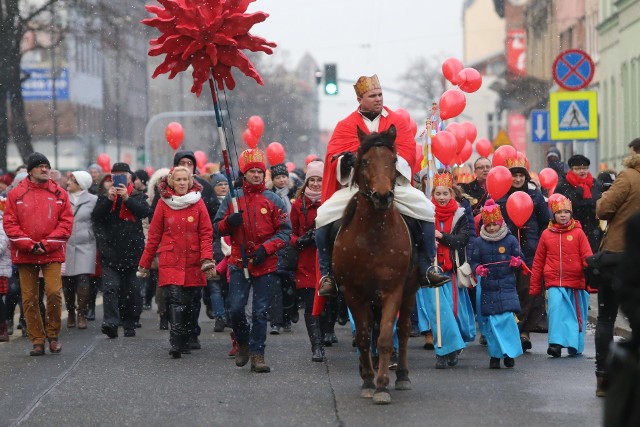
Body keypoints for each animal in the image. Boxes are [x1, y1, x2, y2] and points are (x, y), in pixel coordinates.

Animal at [332, 124, 418, 404]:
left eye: (394, 161)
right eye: (366, 161)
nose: (382, 197)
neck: (373, 236)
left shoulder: (393, 290)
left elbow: (385, 337)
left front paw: (381, 386)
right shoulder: (353, 293)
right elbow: (361, 336)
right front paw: (369, 381)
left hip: (409, 291)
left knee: (402, 330)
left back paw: (402, 375)